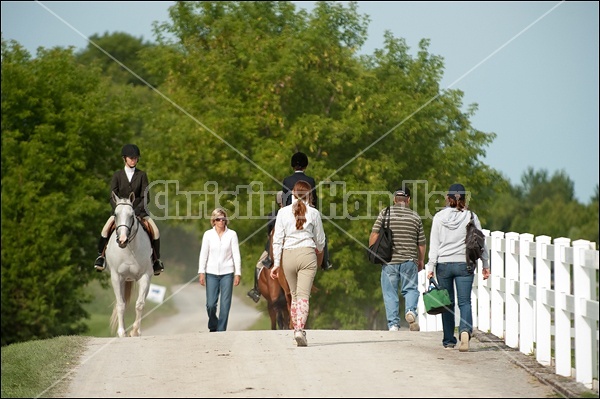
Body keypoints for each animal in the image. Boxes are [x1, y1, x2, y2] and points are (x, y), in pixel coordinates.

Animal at [105, 192, 154, 336]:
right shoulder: (116, 277)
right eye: (116, 214)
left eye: (132, 215)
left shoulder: (144, 277)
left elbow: (140, 304)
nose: (122, 240)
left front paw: (135, 331)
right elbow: (121, 305)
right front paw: (121, 332)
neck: (129, 248)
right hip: (122, 280)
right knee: (122, 303)